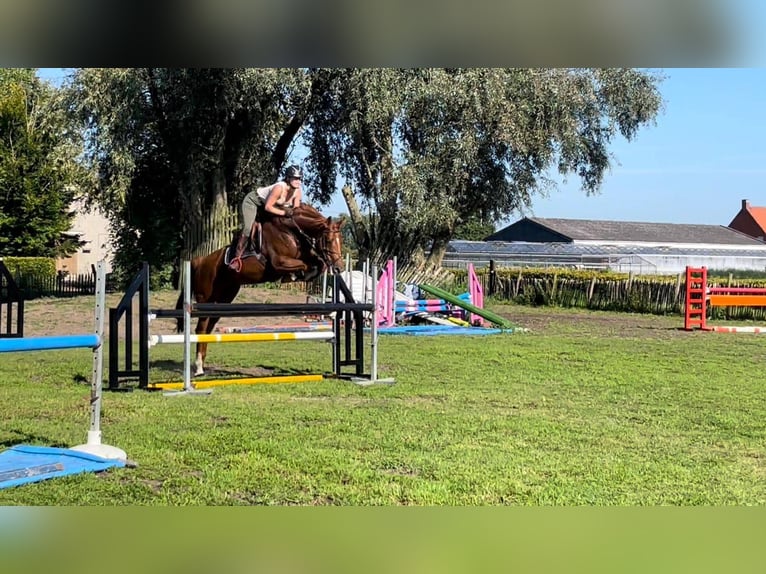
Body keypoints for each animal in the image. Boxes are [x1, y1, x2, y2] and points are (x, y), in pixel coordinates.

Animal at [177, 204, 344, 378]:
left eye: (341, 240)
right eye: (329, 240)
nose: (339, 268)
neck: (292, 230)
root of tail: (200, 260)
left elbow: (318, 264)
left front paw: (304, 274)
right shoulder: (280, 262)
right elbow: (305, 265)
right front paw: (293, 276)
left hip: (223, 299)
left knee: (208, 328)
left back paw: (202, 365)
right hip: (205, 298)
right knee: (201, 328)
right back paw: (198, 367)